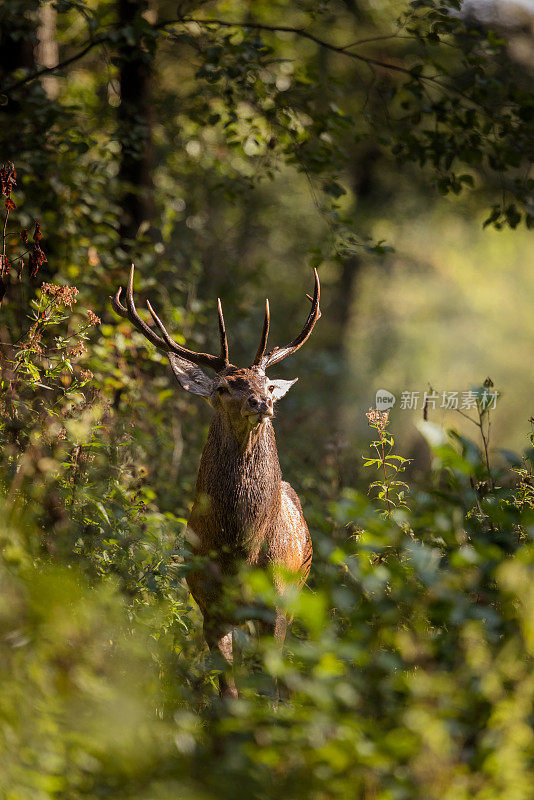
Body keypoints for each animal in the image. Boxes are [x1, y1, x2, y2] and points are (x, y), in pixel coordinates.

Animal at [112, 266, 322, 696]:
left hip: (298, 588)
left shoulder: (276, 606)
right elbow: (227, 690)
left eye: (267, 382)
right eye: (224, 386)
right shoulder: (209, 607)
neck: (238, 553)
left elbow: (268, 684)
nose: (263, 402)